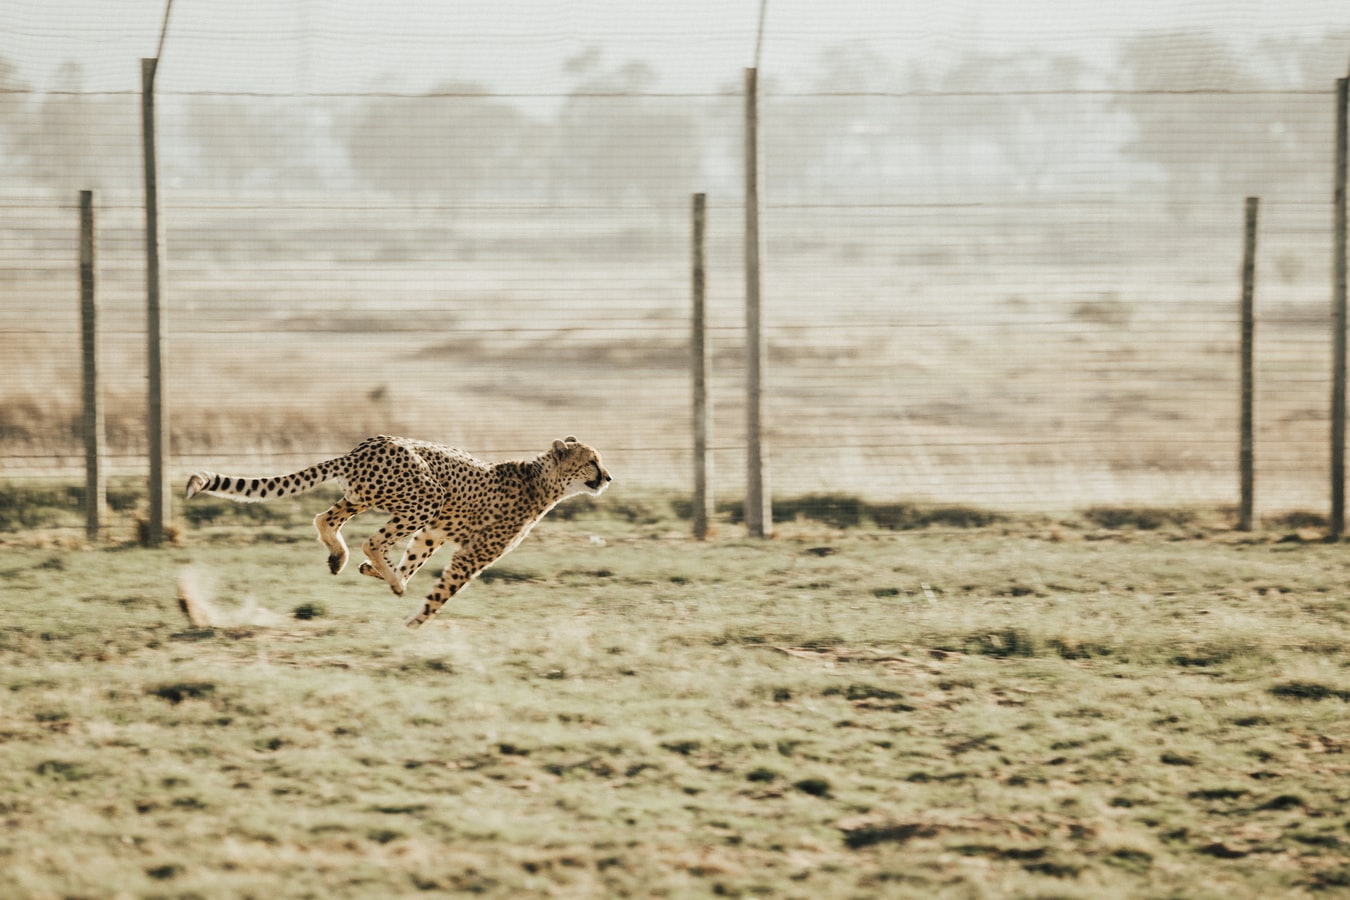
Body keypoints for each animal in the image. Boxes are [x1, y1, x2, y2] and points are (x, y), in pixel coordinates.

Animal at [183, 434, 612, 626]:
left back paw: (343, 559)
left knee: (326, 519)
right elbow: (441, 592)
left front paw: (384, 576)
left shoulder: (434, 533)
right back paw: (384, 575)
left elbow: (415, 559)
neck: (543, 480)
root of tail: (364, 446)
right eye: (591, 461)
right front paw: (413, 623)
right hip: (426, 495)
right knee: (371, 540)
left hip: (366, 496)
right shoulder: (471, 554)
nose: (608, 476)